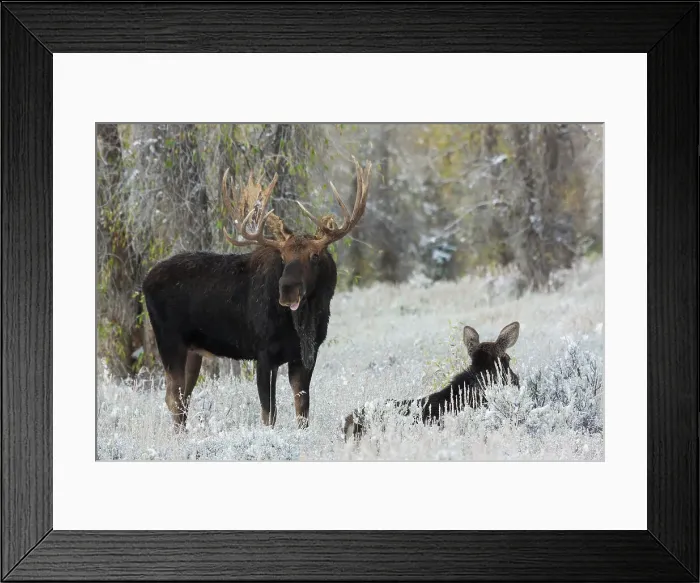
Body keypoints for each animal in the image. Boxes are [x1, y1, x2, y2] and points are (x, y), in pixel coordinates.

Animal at [142, 158, 372, 432]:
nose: (287, 290)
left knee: (182, 398)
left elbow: (302, 411)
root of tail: (144, 281)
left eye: (315, 256)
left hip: (192, 350)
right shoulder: (262, 353)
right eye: (283, 257)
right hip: (169, 342)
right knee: (173, 399)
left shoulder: (306, 355)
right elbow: (268, 414)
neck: (303, 323)